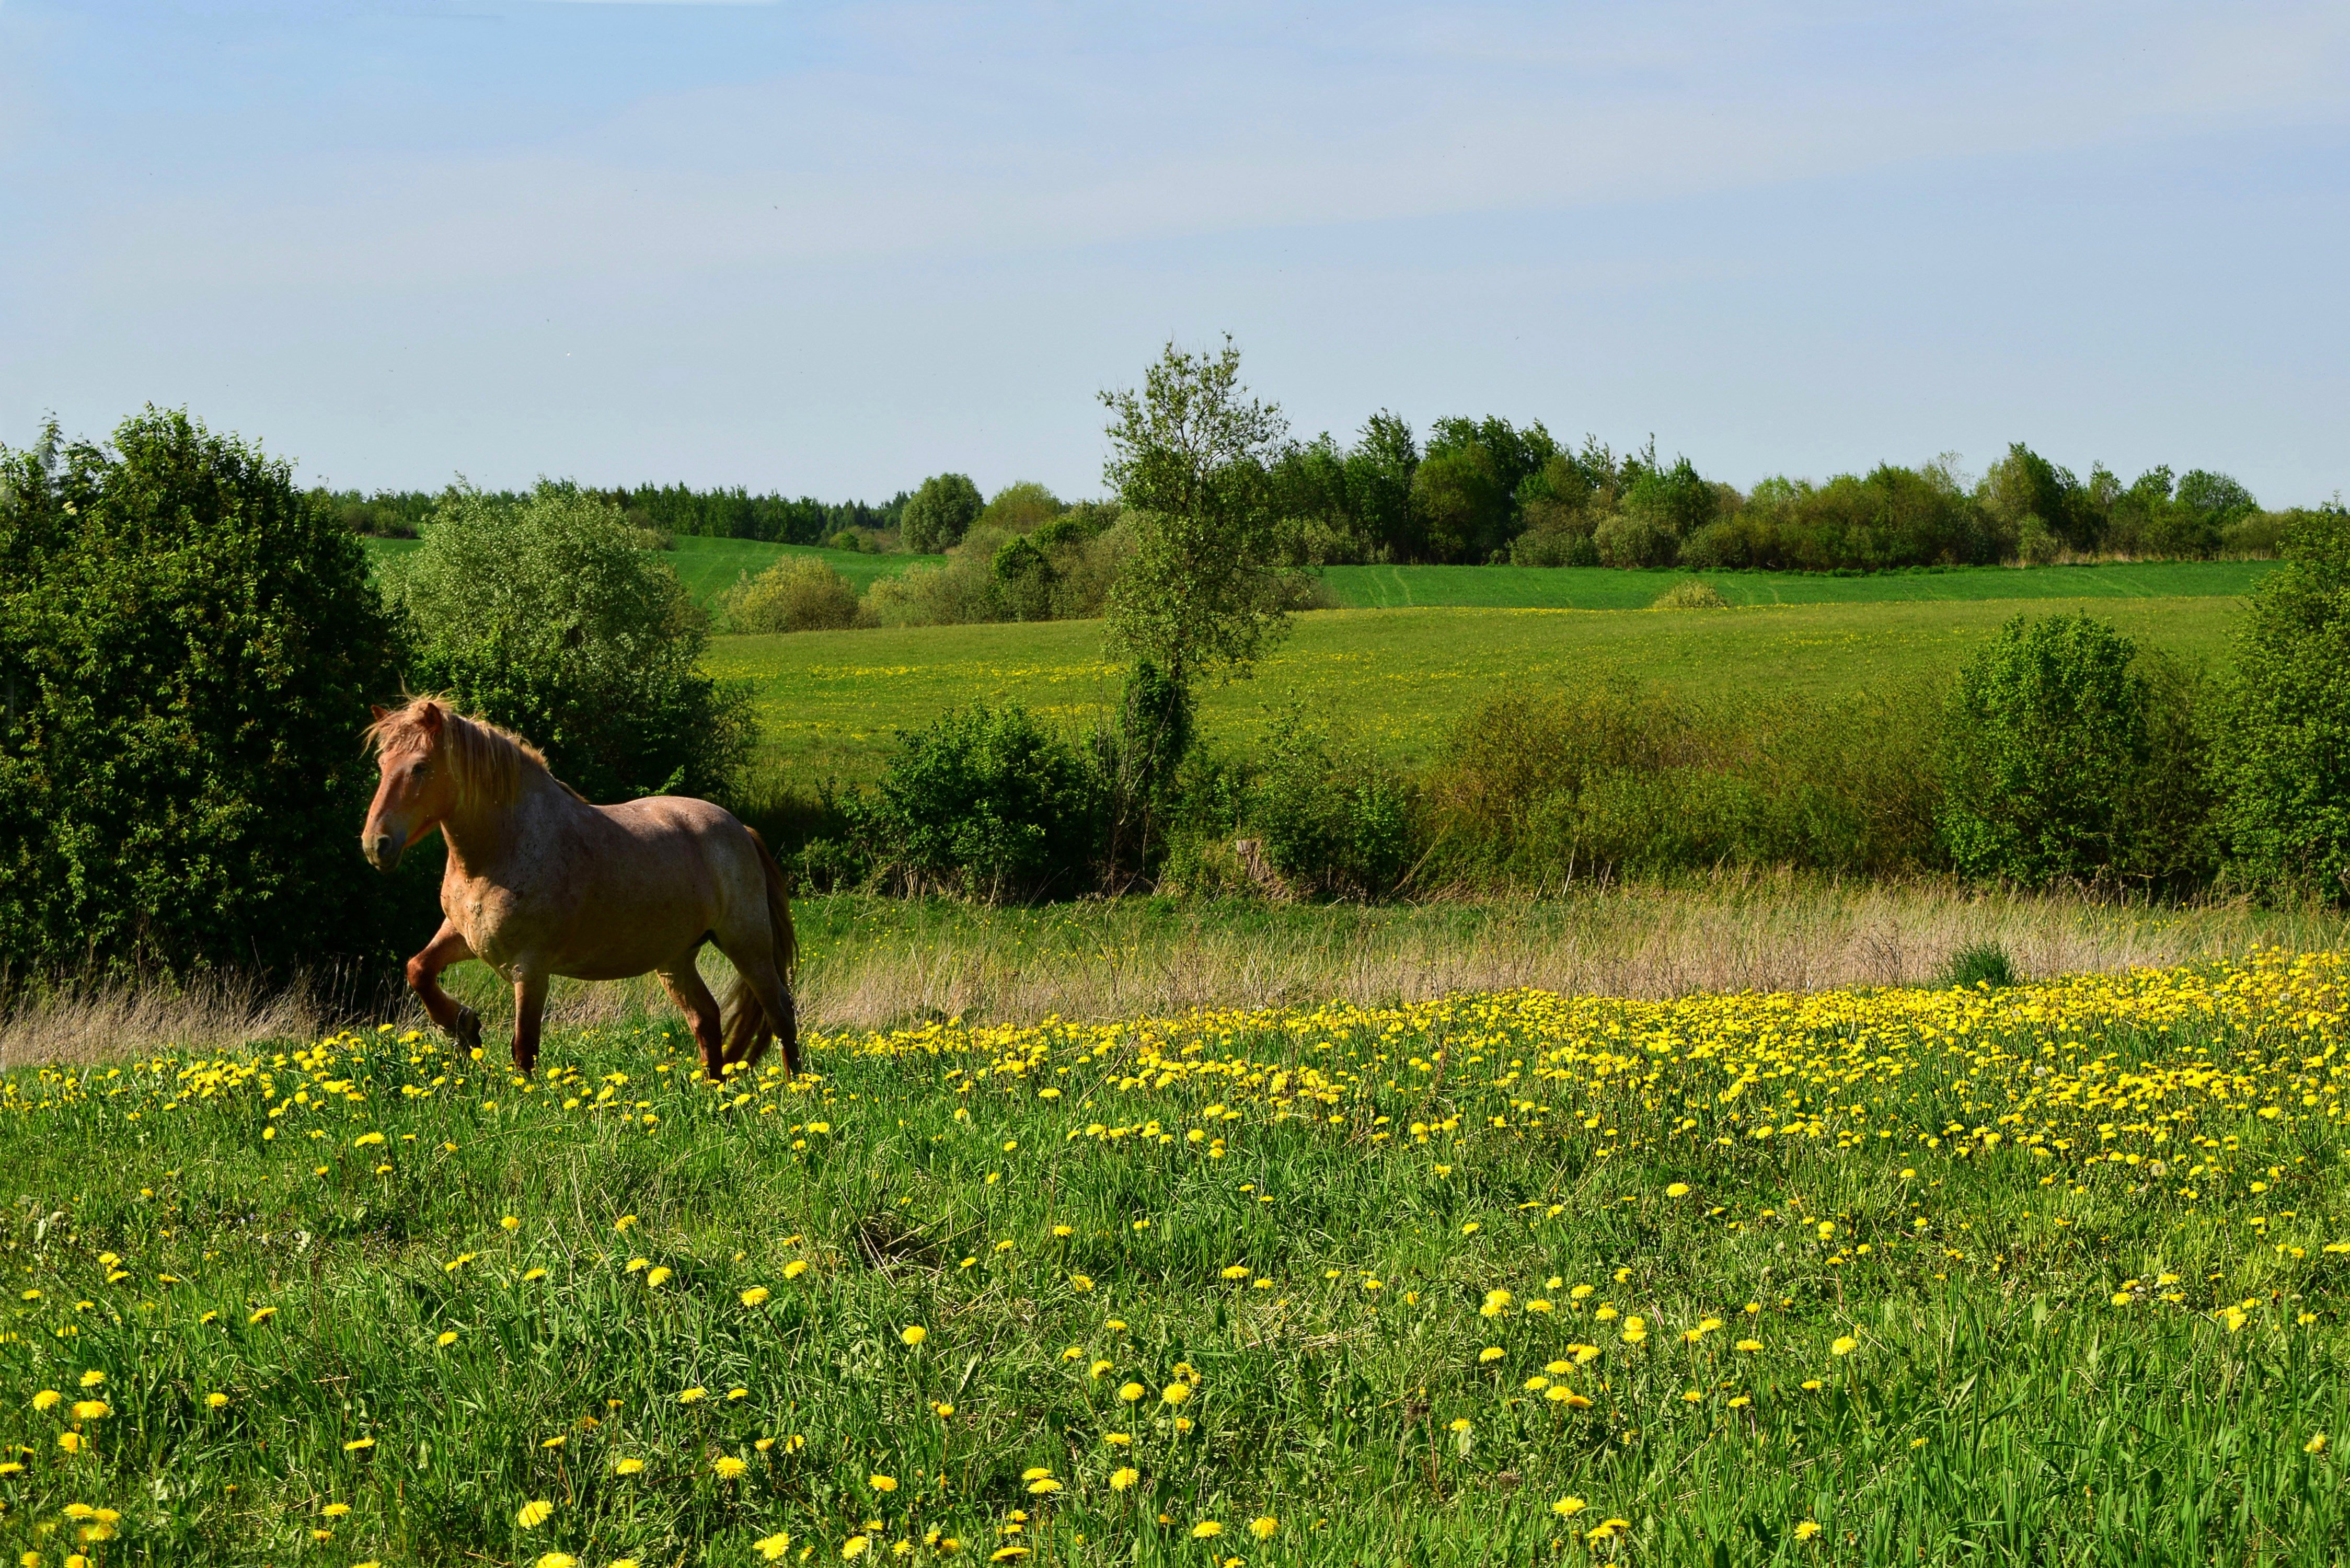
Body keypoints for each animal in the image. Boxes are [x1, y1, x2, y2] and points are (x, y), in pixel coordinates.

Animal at [354, 691, 799, 1086]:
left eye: (421, 767)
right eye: (381, 763)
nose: (377, 845)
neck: (501, 848)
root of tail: (740, 829)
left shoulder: (529, 968)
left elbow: (524, 1048)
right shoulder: (465, 936)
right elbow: (419, 969)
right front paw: (463, 1027)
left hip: (746, 943)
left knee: (780, 1010)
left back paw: (796, 1086)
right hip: (676, 959)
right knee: (706, 1018)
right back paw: (713, 1092)